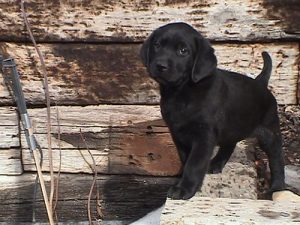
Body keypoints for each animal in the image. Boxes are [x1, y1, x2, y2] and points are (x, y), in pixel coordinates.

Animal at [139, 22, 284, 200]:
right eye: (157, 45)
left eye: (183, 51)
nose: (160, 65)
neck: (182, 92)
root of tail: (260, 83)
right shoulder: (178, 134)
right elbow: (186, 160)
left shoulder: (204, 137)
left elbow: (194, 164)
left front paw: (184, 189)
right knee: (230, 143)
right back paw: (215, 163)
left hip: (269, 131)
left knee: (277, 158)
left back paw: (276, 188)